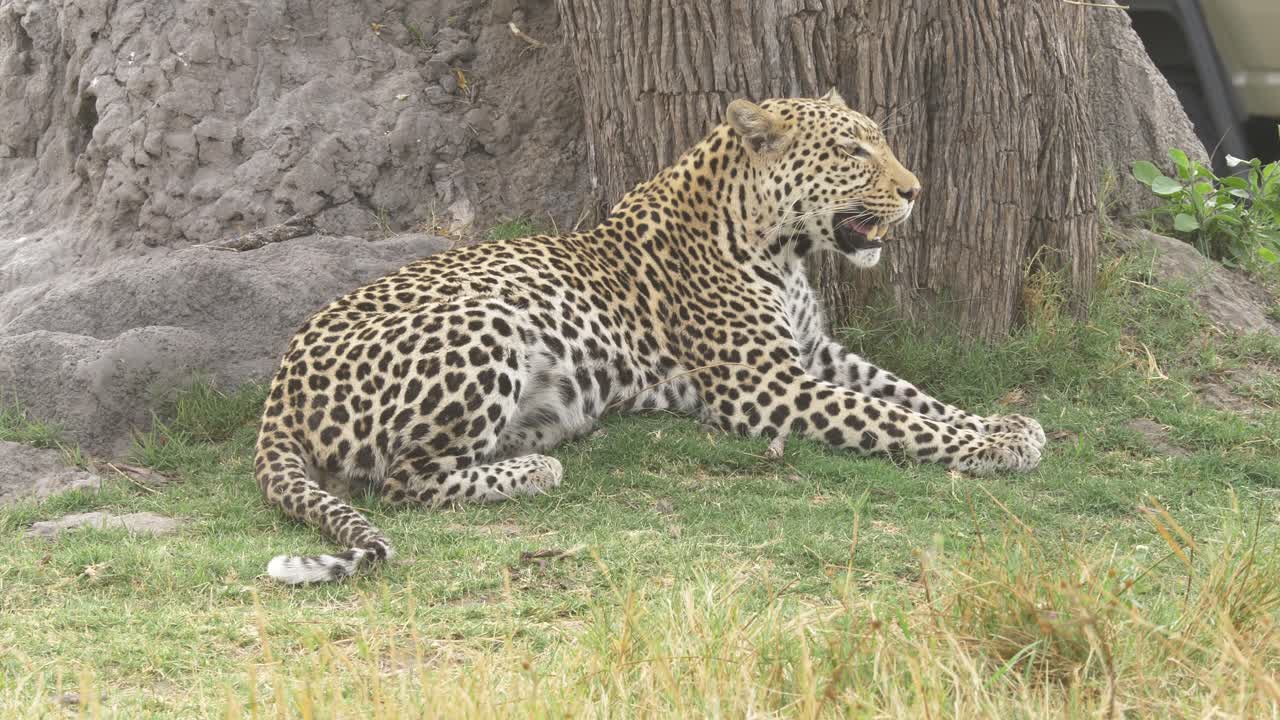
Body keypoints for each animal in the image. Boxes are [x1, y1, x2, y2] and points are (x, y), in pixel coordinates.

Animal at [255, 89, 1046, 584]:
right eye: (854, 150)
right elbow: (891, 418)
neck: (781, 245)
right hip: (485, 320)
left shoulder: (815, 353)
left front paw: (1004, 424)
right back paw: (535, 470)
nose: (915, 191)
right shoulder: (768, 386)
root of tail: (278, 388)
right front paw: (995, 446)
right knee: (401, 481)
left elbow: (908, 393)